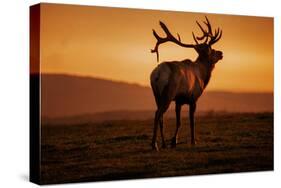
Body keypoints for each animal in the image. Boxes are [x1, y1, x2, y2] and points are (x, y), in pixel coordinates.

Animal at [150, 16, 222, 151]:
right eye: (212, 50)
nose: (221, 53)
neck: (203, 76)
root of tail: (157, 74)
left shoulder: (179, 101)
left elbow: (179, 122)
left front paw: (174, 142)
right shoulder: (193, 98)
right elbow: (192, 120)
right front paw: (193, 141)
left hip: (157, 95)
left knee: (160, 116)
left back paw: (163, 144)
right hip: (168, 94)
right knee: (158, 114)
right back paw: (154, 145)